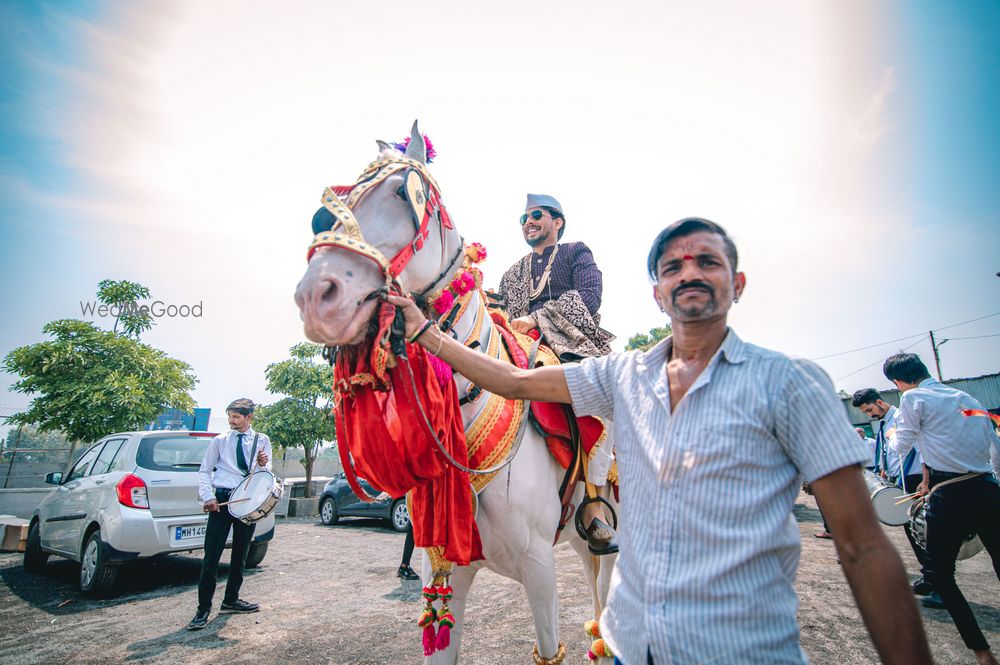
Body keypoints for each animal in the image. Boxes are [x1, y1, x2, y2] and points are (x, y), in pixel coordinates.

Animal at [292, 122, 612, 660]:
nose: (318, 297)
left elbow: (549, 650)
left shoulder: (539, 569)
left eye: (405, 194)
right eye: (326, 211)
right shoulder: (445, 569)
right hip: (577, 540)